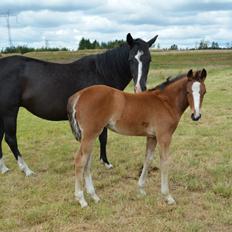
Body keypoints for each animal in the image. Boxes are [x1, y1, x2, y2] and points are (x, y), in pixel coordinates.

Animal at [0, 33, 158, 176]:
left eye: (149, 59)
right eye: (131, 59)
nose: (140, 88)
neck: (101, 72)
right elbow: (103, 138)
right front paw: (106, 163)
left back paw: (4, 169)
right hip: (9, 111)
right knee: (10, 139)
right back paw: (26, 170)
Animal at [66, 68, 207, 208]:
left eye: (204, 92)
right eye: (188, 91)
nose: (196, 116)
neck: (166, 102)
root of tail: (79, 94)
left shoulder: (152, 137)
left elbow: (148, 159)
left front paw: (141, 189)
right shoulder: (164, 136)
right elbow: (164, 161)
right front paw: (167, 196)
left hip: (91, 135)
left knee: (87, 163)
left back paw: (94, 196)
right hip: (90, 134)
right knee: (80, 160)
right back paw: (81, 199)